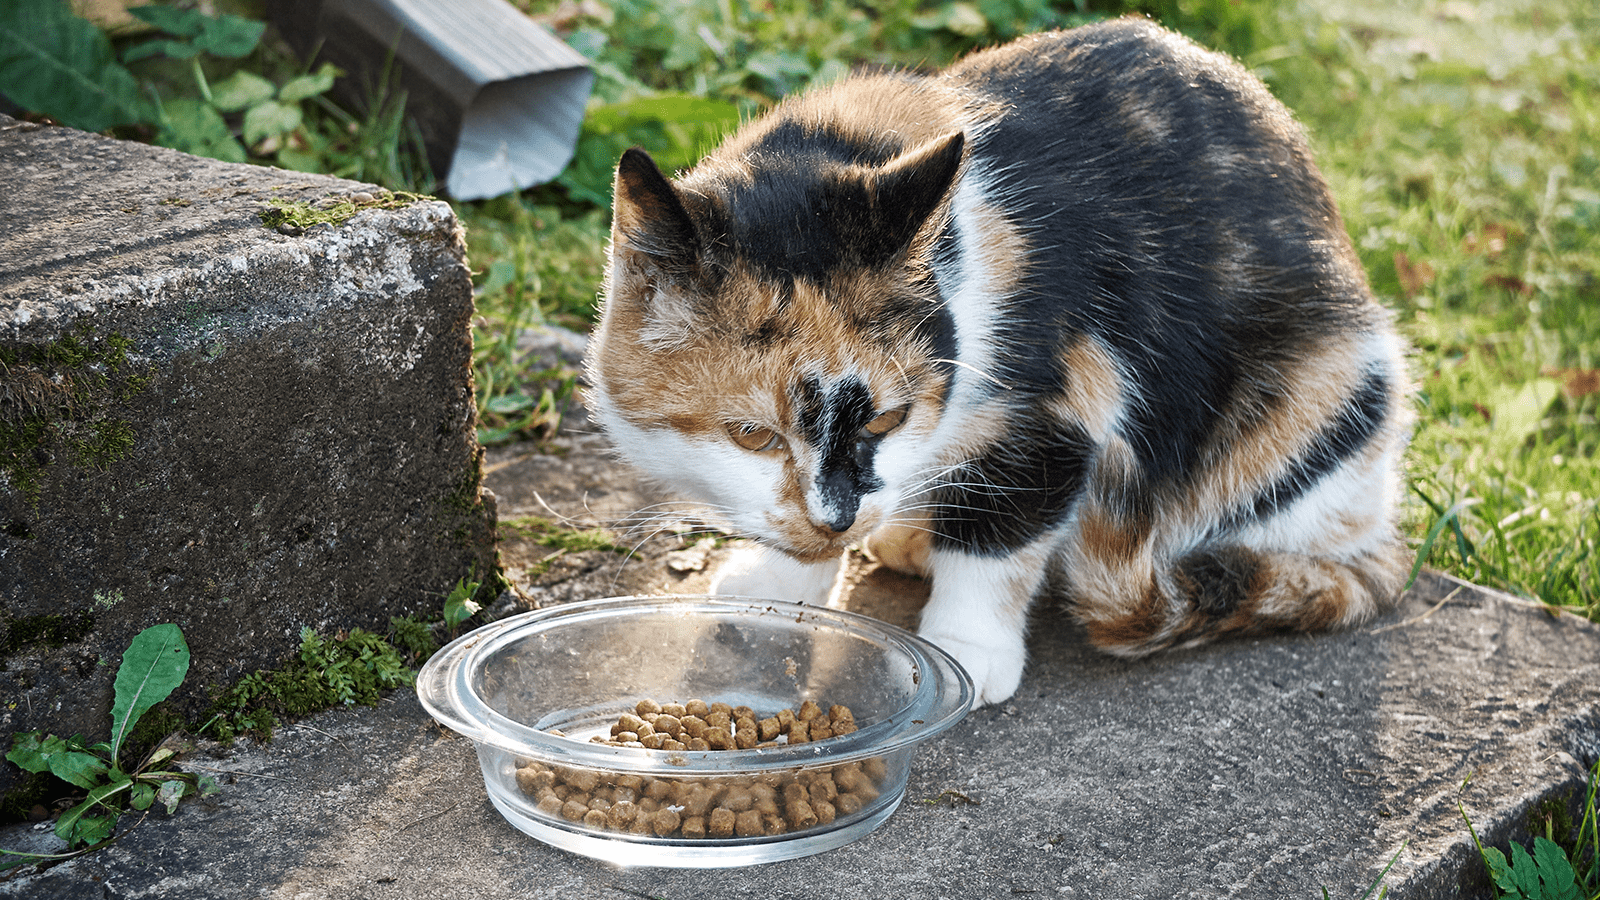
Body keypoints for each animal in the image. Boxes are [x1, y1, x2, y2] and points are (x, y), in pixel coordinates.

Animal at [588, 14, 1414, 701]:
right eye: (753, 435)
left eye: (887, 420)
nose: (839, 517)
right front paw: (776, 585)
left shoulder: (1064, 402)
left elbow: (1001, 535)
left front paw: (965, 651)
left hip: (1324, 402)